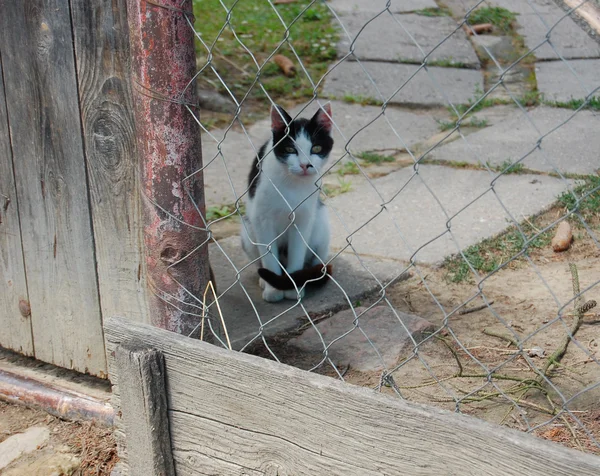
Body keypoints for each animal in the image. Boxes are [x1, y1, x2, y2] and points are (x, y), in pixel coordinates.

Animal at [239, 103, 332, 304]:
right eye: (290, 149)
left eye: (316, 148)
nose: (305, 165)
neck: (292, 184)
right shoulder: (262, 219)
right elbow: (269, 257)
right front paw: (273, 290)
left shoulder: (304, 217)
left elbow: (297, 251)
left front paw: (292, 287)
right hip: (247, 231)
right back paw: (264, 280)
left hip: (321, 223)